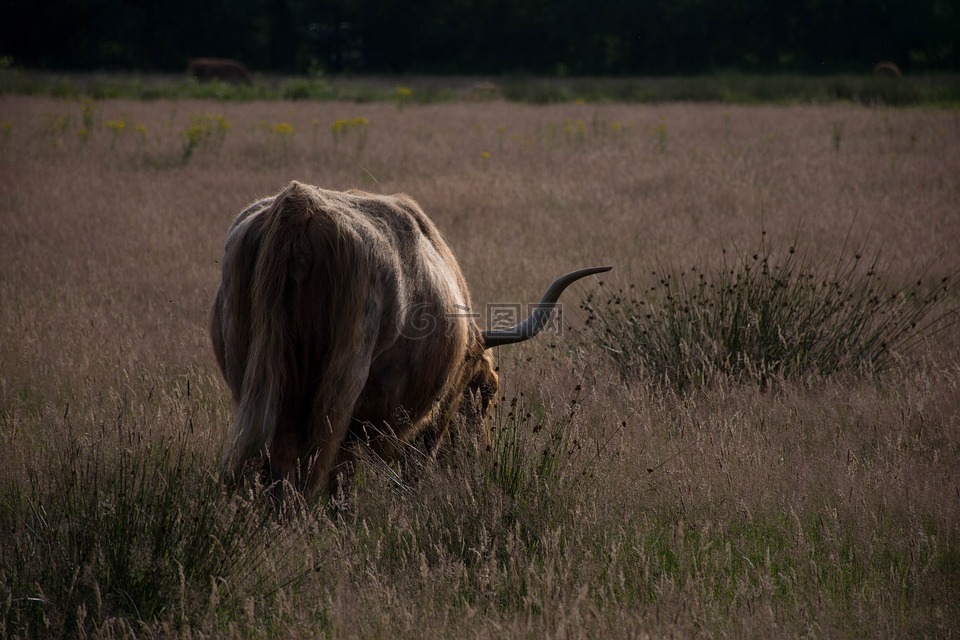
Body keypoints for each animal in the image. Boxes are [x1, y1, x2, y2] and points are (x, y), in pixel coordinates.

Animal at [213, 181, 612, 500]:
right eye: (487, 391)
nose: (480, 455)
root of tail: (298, 206)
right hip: (342, 388)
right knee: (317, 462)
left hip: (258, 383)